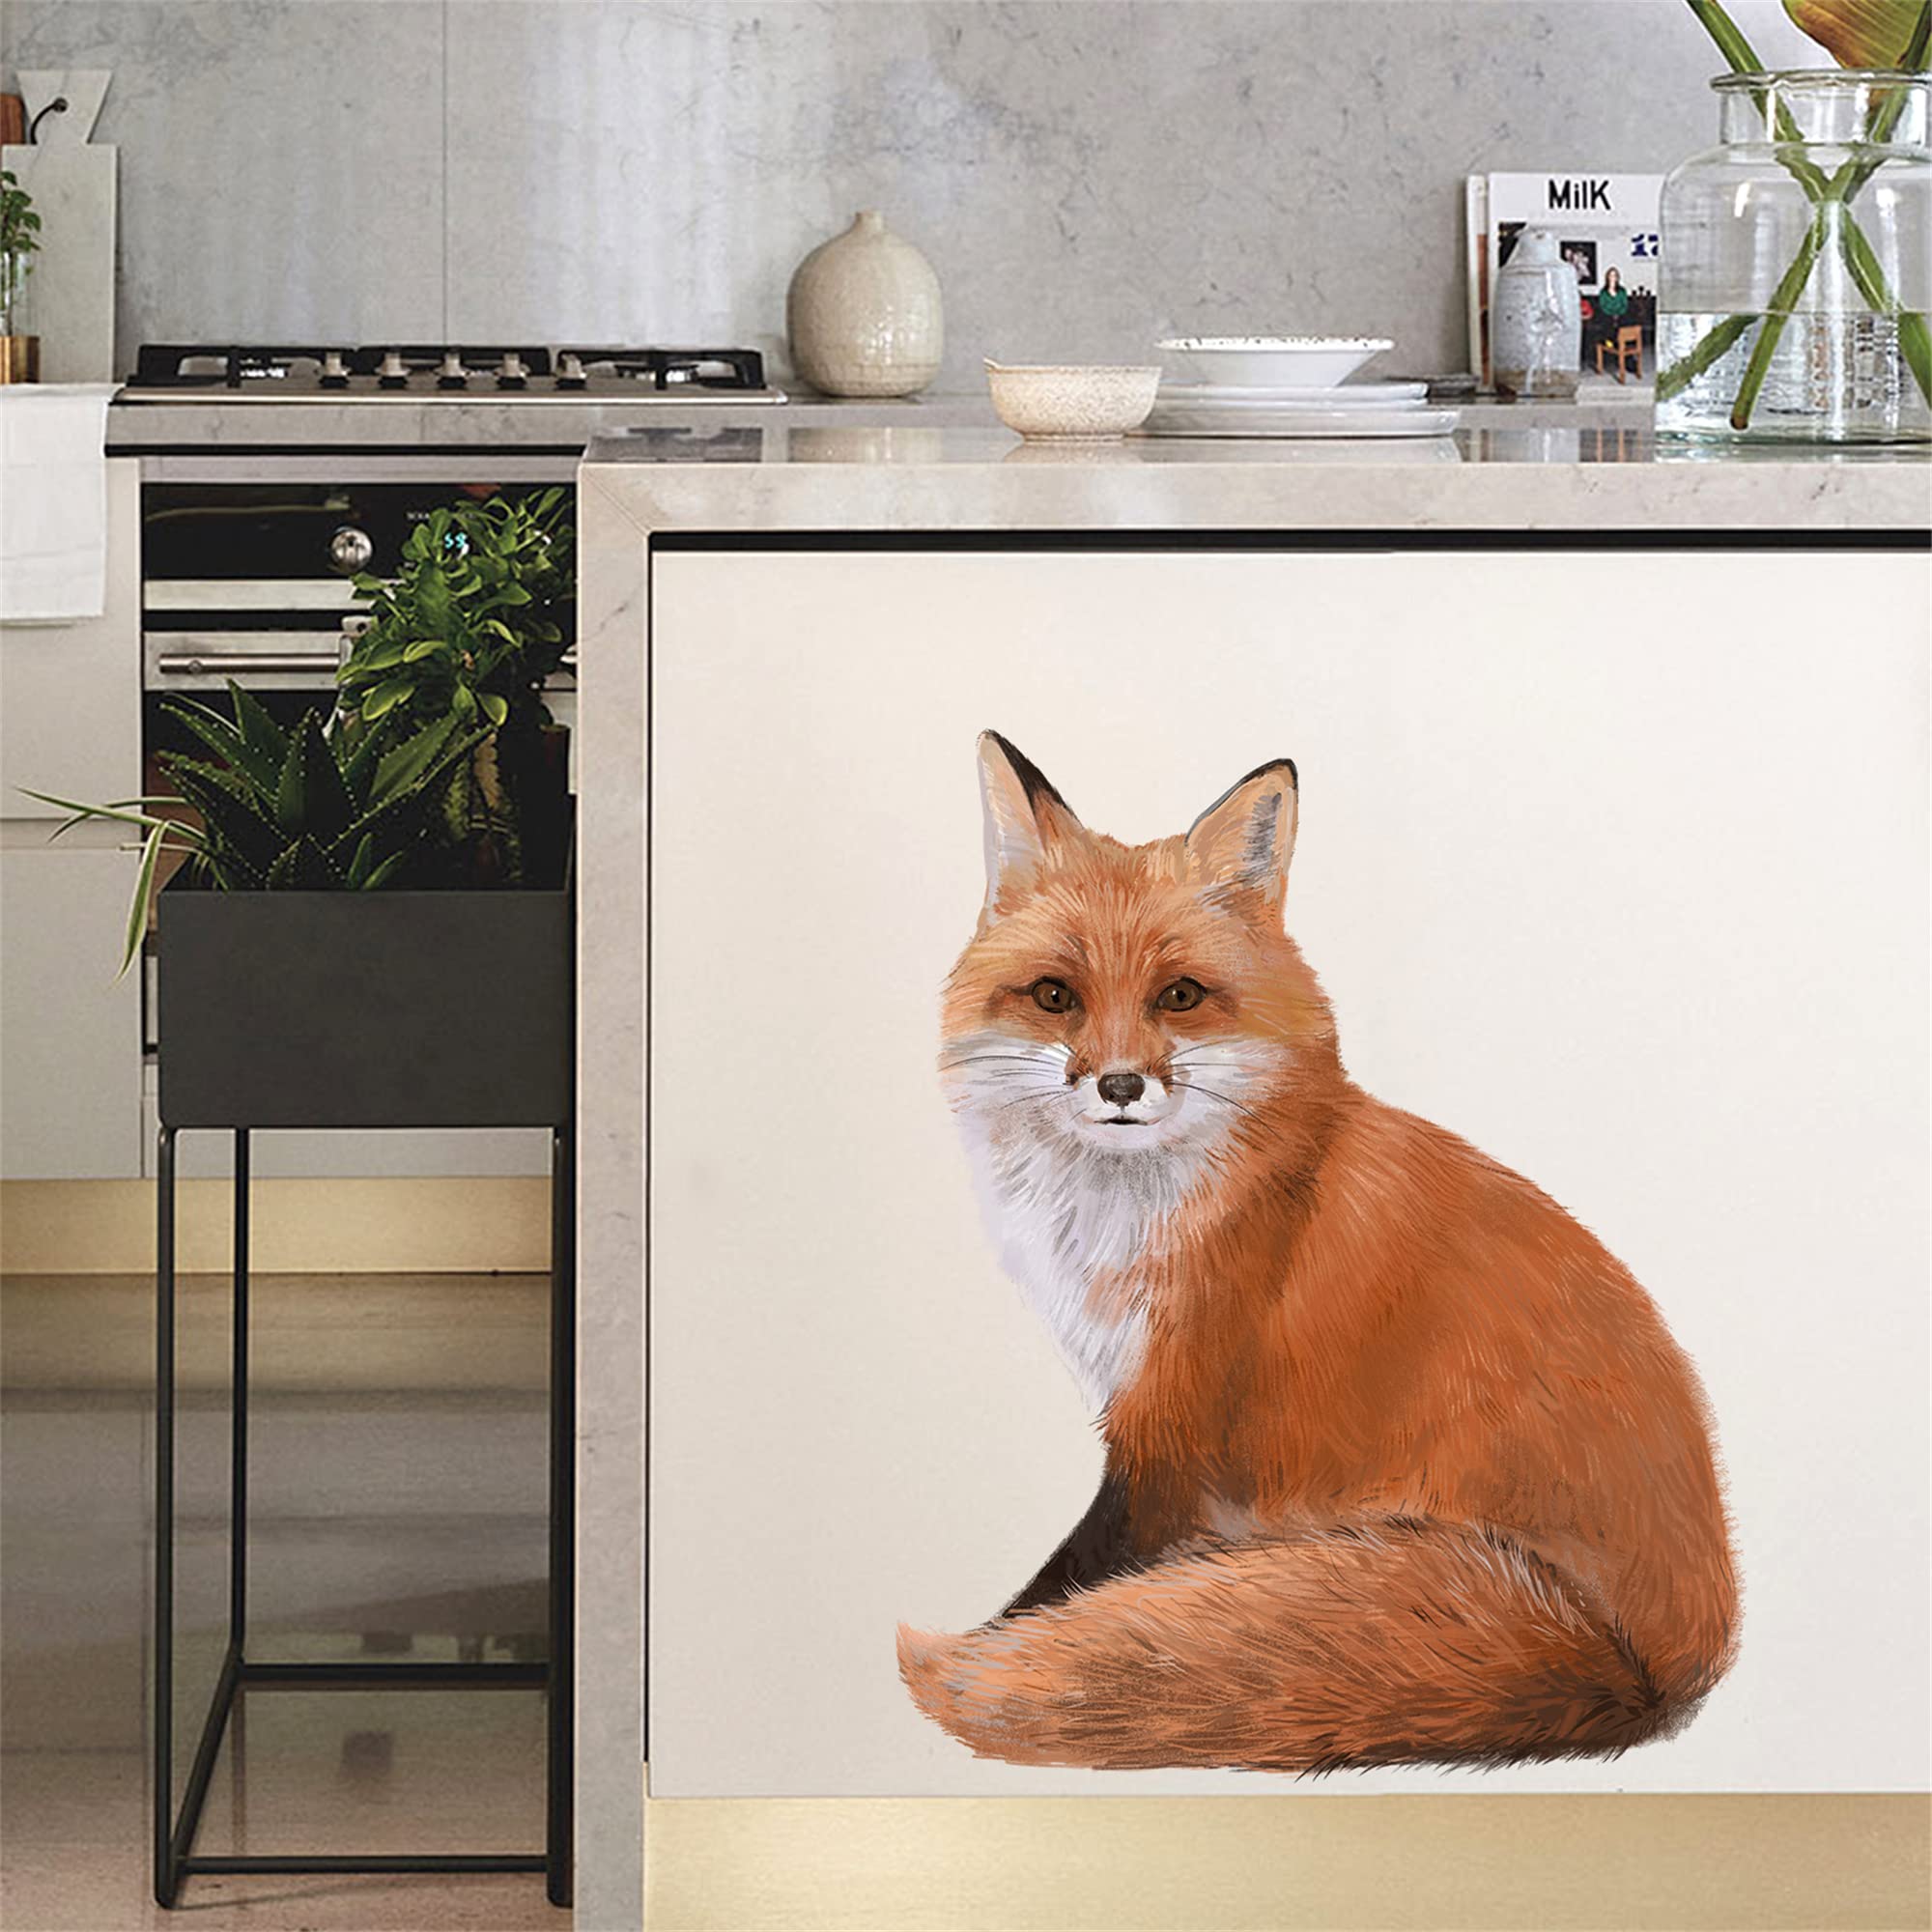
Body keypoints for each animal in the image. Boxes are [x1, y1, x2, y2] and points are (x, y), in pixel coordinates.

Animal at [897, 732, 1738, 1773]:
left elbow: (1073, 1576)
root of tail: (1655, 1671)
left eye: (1179, 995)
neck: (1121, 1224)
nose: (1120, 1084)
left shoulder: (1174, 1417)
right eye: (1055, 996)